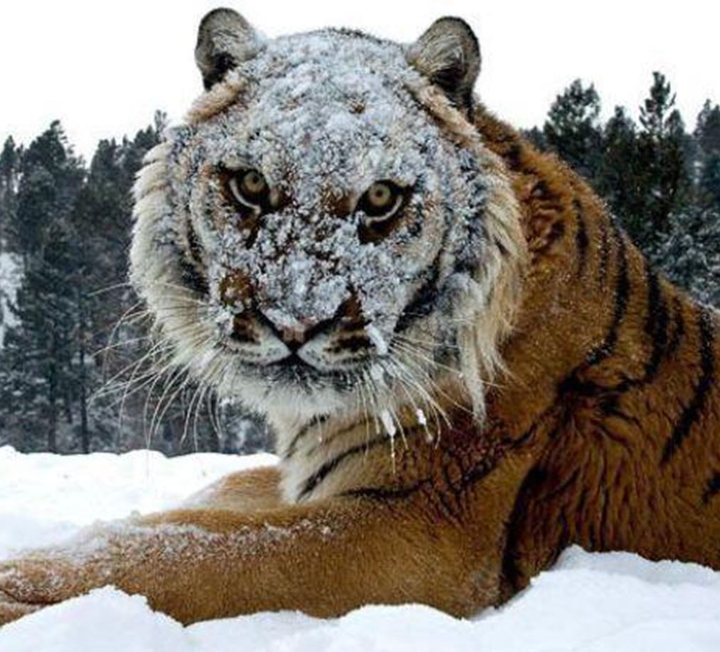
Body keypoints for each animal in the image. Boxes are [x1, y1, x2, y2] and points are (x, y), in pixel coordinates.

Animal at [1, 7, 719, 627]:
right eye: (251, 185)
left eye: (380, 199)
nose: (295, 323)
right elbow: (203, 501)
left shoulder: (412, 525)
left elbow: (183, 553)